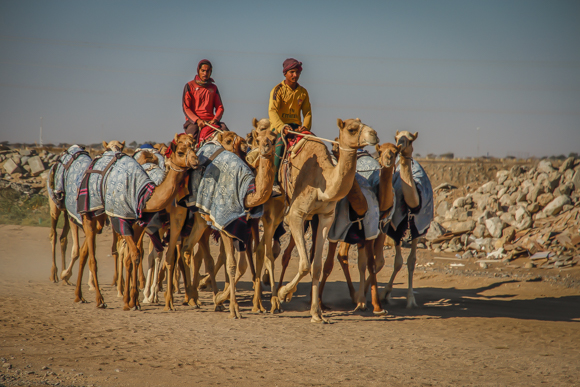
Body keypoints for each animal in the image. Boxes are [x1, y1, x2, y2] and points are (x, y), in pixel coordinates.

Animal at [75, 135, 198, 310]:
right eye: (180, 152)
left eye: (194, 148)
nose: (196, 161)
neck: (143, 195)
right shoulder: (122, 220)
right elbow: (134, 254)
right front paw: (133, 300)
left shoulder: (139, 224)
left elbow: (135, 256)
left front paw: (134, 300)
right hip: (88, 213)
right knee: (93, 257)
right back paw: (100, 299)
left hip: (100, 219)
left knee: (87, 250)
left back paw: (79, 295)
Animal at [278, 119, 380, 324]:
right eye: (352, 129)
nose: (374, 135)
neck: (323, 184)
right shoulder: (295, 214)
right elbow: (304, 264)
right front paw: (283, 293)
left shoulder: (326, 217)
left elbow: (316, 266)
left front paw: (316, 314)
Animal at [318, 142, 398, 316]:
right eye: (380, 151)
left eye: (395, 152)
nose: (388, 159)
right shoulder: (336, 231)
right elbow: (327, 266)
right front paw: (320, 303)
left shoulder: (374, 231)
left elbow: (372, 263)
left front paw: (373, 305)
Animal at [378, 132, 432, 310]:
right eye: (396, 137)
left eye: (409, 138)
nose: (399, 145)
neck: (413, 204)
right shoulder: (396, 228)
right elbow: (398, 262)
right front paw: (385, 293)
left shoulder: (418, 229)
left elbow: (411, 261)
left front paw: (410, 299)